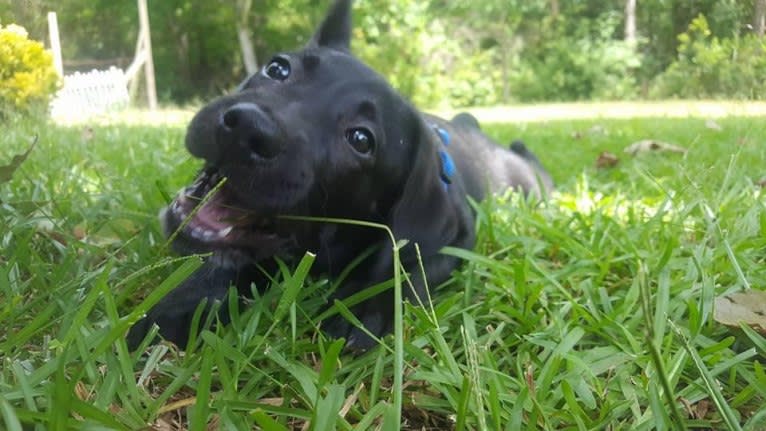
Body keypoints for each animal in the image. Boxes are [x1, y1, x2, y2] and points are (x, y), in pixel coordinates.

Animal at [127, 0, 552, 352]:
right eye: (277, 68)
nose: (247, 128)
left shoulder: (453, 243)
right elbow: (227, 264)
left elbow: (404, 271)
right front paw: (183, 304)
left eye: (361, 139)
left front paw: (362, 310)